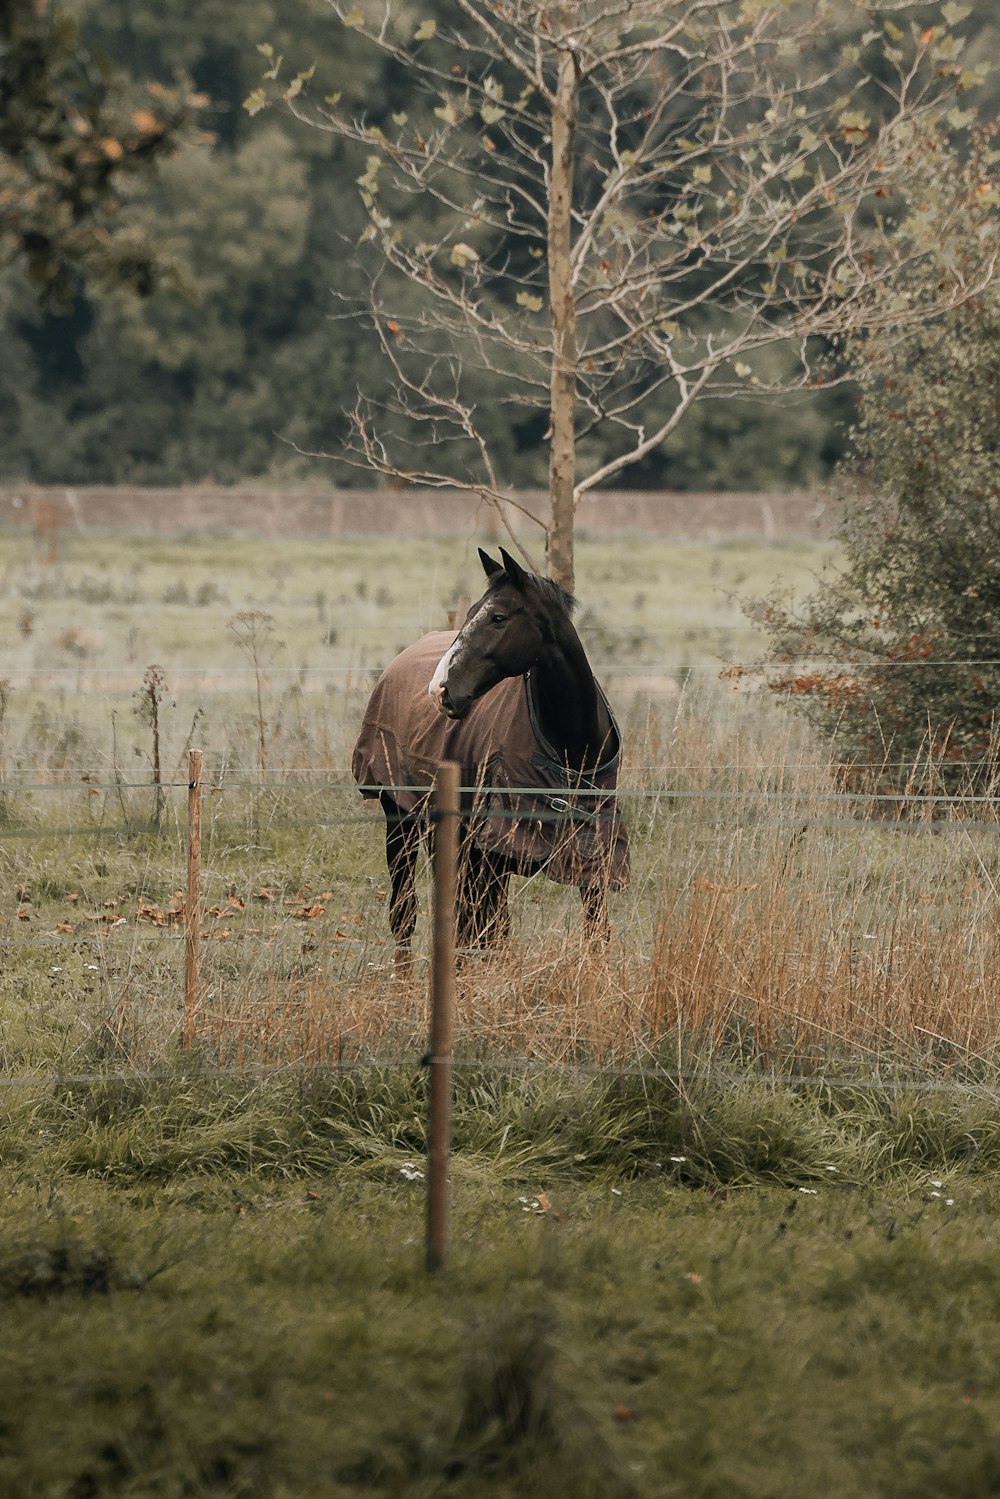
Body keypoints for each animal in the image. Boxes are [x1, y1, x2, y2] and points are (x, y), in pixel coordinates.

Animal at [352, 548, 629, 971]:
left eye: (498, 617)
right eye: (471, 614)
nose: (440, 690)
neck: (570, 747)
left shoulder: (593, 856)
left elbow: (596, 933)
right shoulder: (494, 854)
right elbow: (489, 934)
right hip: (401, 821)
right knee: (406, 913)